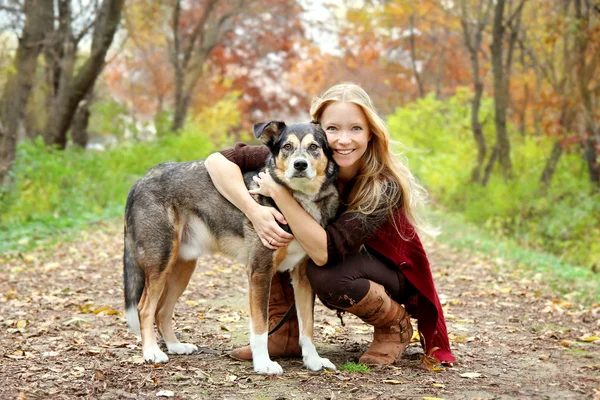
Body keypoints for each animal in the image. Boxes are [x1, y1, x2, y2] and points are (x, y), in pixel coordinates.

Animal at [123, 121, 338, 376]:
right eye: (287, 146)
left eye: (314, 147)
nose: (300, 165)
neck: (296, 202)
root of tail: (142, 179)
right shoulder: (260, 272)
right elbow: (260, 327)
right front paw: (263, 364)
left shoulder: (303, 277)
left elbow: (308, 326)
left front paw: (313, 360)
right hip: (161, 261)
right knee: (145, 308)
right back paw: (151, 352)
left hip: (181, 268)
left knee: (161, 310)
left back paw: (175, 346)